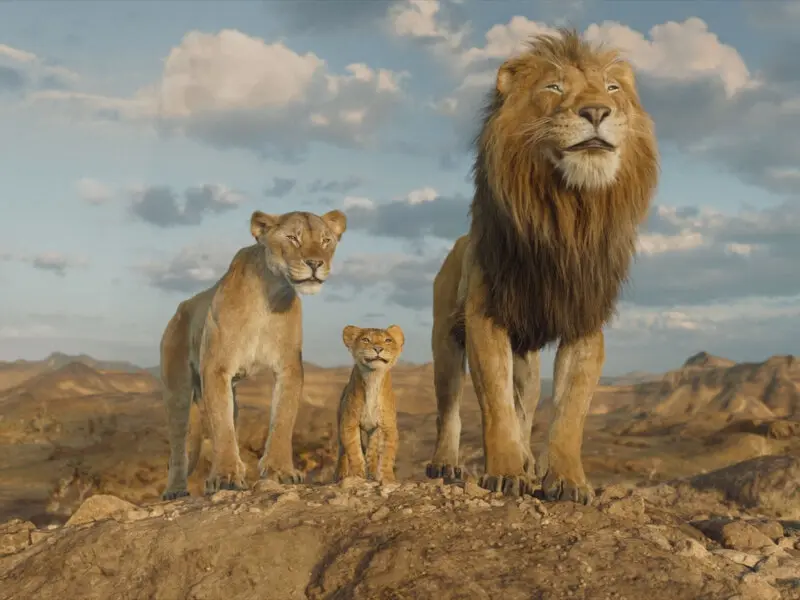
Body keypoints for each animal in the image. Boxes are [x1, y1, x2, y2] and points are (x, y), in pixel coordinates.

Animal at [159, 209, 347, 500]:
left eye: (326, 240)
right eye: (293, 238)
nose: (315, 263)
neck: (270, 295)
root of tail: (181, 308)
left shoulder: (289, 366)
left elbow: (283, 418)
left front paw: (280, 470)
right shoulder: (216, 368)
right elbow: (222, 427)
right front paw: (225, 476)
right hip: (177, 389)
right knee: (179, 443)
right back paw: (176, 490)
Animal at [334, 325, 404, 484]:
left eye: (388, 340)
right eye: (366, 339)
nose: (378, 348)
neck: (373, 377)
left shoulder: (388, 427)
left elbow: (387, 455)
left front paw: (387, 478)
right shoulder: (349, 424)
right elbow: (354, 452)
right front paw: (357, 475)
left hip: (374, 431)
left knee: (372, 451)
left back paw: (372, 472)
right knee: (342, 451)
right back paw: (340, 475)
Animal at [425, 29, 659, 504]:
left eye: (612, 89)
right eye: (554, 87)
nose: (596, 111)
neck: (568, 213)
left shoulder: (584, 322)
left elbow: (569, 413)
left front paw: (567, 481)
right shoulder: (485, 317)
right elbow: (495, 406)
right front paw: (505, 472)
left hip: (527, 363)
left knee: (526, 407)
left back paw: (530, 462)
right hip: (444, 340)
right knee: (450, 407)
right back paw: (446, 463)